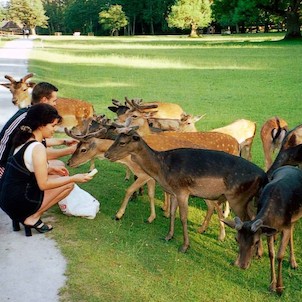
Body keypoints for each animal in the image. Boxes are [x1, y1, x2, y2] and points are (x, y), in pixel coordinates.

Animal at [104, 129, 266, 254]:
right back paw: (257, 251)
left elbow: (182, 217)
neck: (162, 168)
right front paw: (168, 236)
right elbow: (172, 213)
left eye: (122, 142)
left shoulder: (182, 191)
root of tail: (263, 175)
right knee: (256, 218)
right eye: (116, 138)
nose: (106, 154)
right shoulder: (175, 192)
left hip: (237, 198)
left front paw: (184, 246)